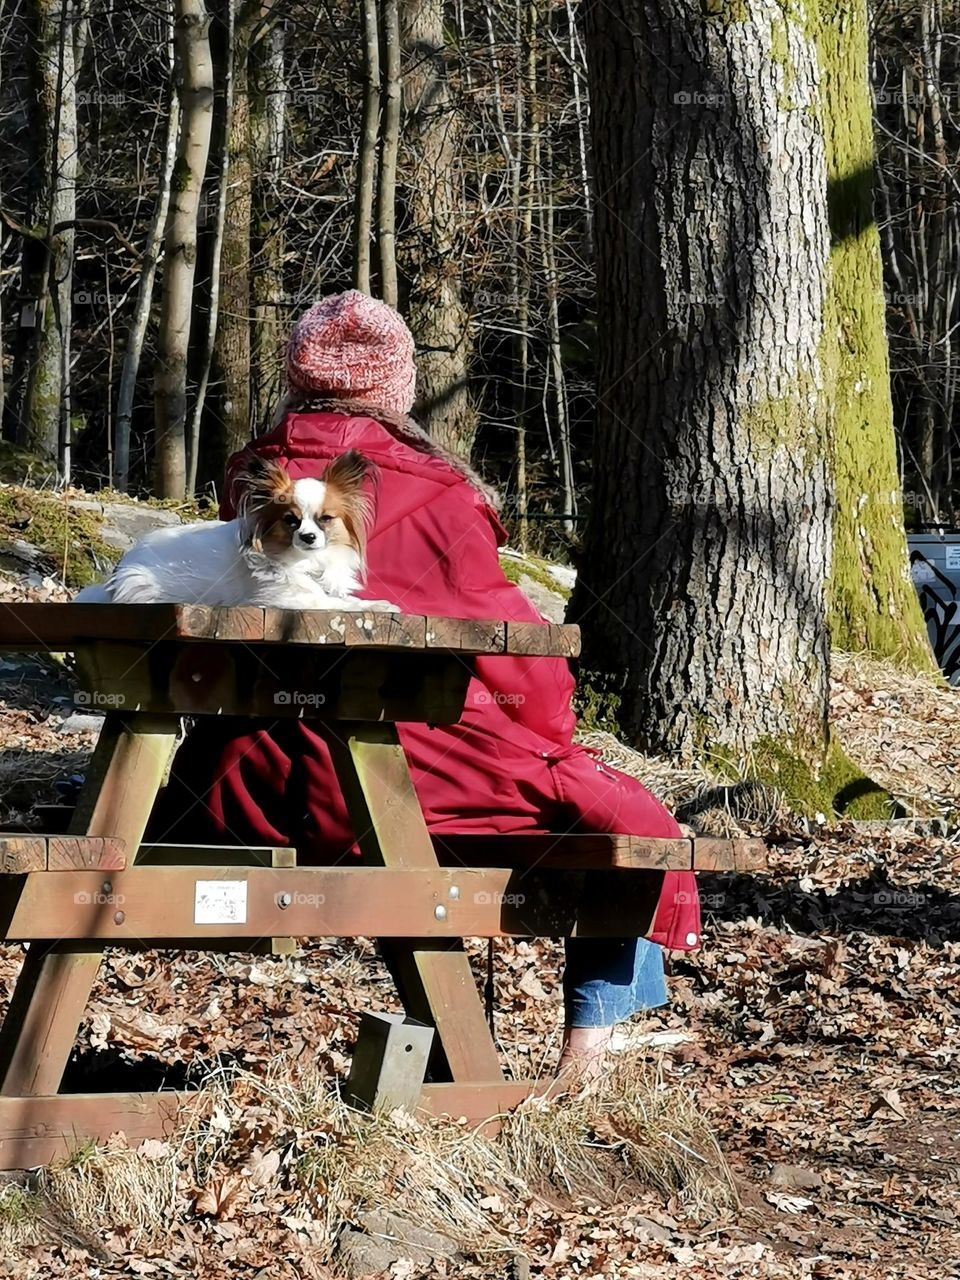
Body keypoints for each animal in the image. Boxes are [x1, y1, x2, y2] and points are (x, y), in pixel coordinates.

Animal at [74, 450, 399, 609]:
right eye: (291, 520)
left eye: (326, 519)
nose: (308, 537)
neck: (306, 562)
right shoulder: (283, 599)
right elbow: (332, 603)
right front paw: (379, 608)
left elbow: (344, 598)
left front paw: (375, 602)